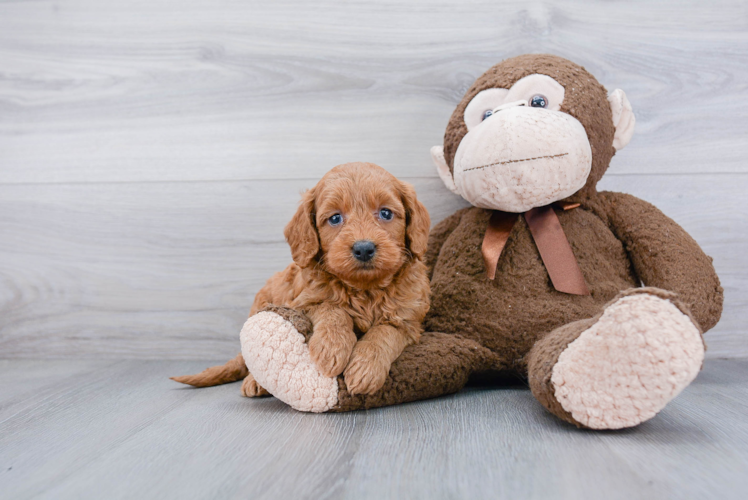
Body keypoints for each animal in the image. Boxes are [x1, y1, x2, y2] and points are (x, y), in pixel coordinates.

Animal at [172, 162, 430, 396]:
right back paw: (256, 382)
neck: (364, 288)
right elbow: (332, 309)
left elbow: (384, 333)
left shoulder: (408, 320)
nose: (364, 248)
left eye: (386, 213)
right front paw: (331, 347)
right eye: (335, 218)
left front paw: (365, 368)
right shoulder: (303, 303)